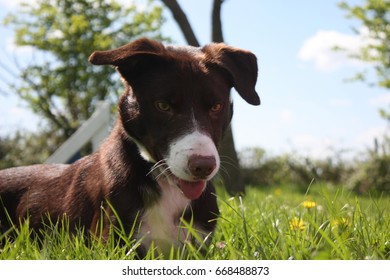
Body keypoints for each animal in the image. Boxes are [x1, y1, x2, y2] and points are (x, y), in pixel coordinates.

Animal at [0, 37, 262, 256]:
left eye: (216, 106)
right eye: (163, 106)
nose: (203, 166)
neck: (165, 186)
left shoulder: (197, 244)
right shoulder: (115, 244)